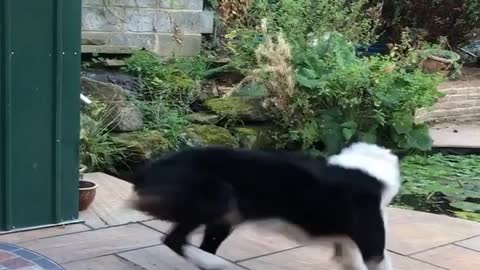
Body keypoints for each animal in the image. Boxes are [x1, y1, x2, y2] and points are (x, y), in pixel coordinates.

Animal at [129, 142, 400, 268]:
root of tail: (151, 168)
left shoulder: (348, 247)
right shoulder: (372, 248)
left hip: (225, 218)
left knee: (201, 244)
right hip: (217, 198)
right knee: (174, 240)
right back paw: (214, 263)